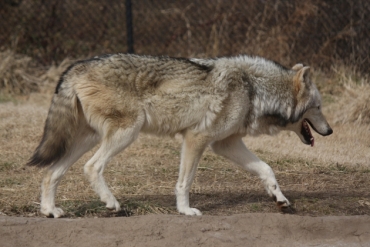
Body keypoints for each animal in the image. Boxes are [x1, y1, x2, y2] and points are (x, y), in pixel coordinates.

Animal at [26, 53, 332, 217]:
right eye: (318, 107)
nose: (330, 131)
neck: (253, 89)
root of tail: (75, 67)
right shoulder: (196, 138)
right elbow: (185, 182)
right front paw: (185, 211)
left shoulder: (225, 144)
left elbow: (266, 169)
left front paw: (280, 200)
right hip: (126, 133)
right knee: (92, 167)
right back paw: (113, 204)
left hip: (87, 139)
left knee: (51, 173)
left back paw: (50, 211)